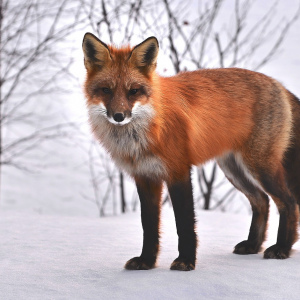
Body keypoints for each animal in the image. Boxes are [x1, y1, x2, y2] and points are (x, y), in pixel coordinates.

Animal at [82, 33, 300, 272]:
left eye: (134, 91)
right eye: (106, 90)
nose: (119, 116)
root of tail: (278, 84)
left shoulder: (178, 171)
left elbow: (184, 223)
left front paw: (185, 261)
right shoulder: (145, 176)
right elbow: (148, 226)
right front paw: (146, 261)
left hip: (260, 167)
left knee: (289, 203)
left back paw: (282, 248)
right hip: (234, 170)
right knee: (262, 202)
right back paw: (253, 245)